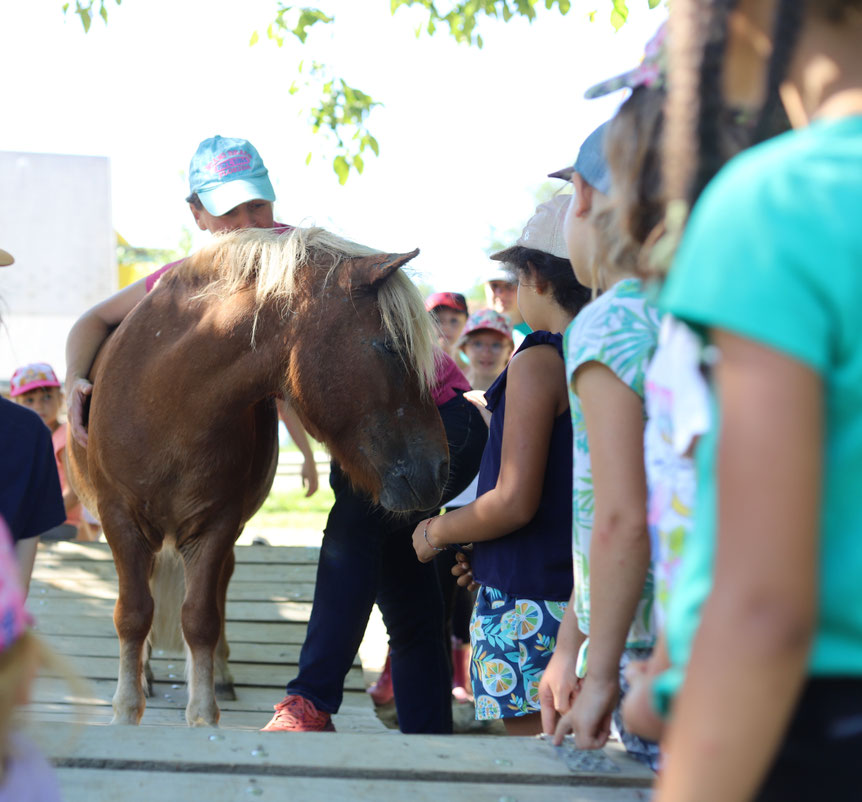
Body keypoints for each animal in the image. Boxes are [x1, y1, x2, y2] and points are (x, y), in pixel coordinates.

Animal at [66, 226, 449, 726]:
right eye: (389, 347)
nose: (440, 470)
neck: (166, 403)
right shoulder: (120, 522)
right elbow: (132, 614)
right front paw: (127, 710)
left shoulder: (215, 526)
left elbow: (201, 618)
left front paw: (203, 714)